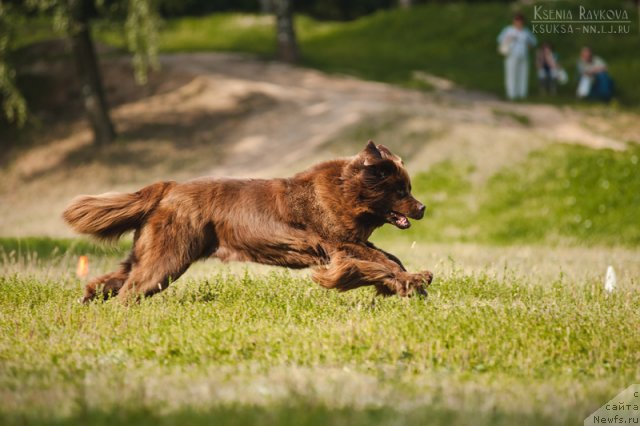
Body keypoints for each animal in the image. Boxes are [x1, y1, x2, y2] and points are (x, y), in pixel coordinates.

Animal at [62, 141, 432, 302]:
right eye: (401, 189)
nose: (423, 207)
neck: (346, 192)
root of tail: (169, 187)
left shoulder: (352, 243)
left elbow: (388, 257)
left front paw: (408, 282)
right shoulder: (339, 246)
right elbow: (379, 262)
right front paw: (412, 281)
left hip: (151, 252)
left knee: (113, 280)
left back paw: (89, 300)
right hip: (169, 256)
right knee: (130, 289)